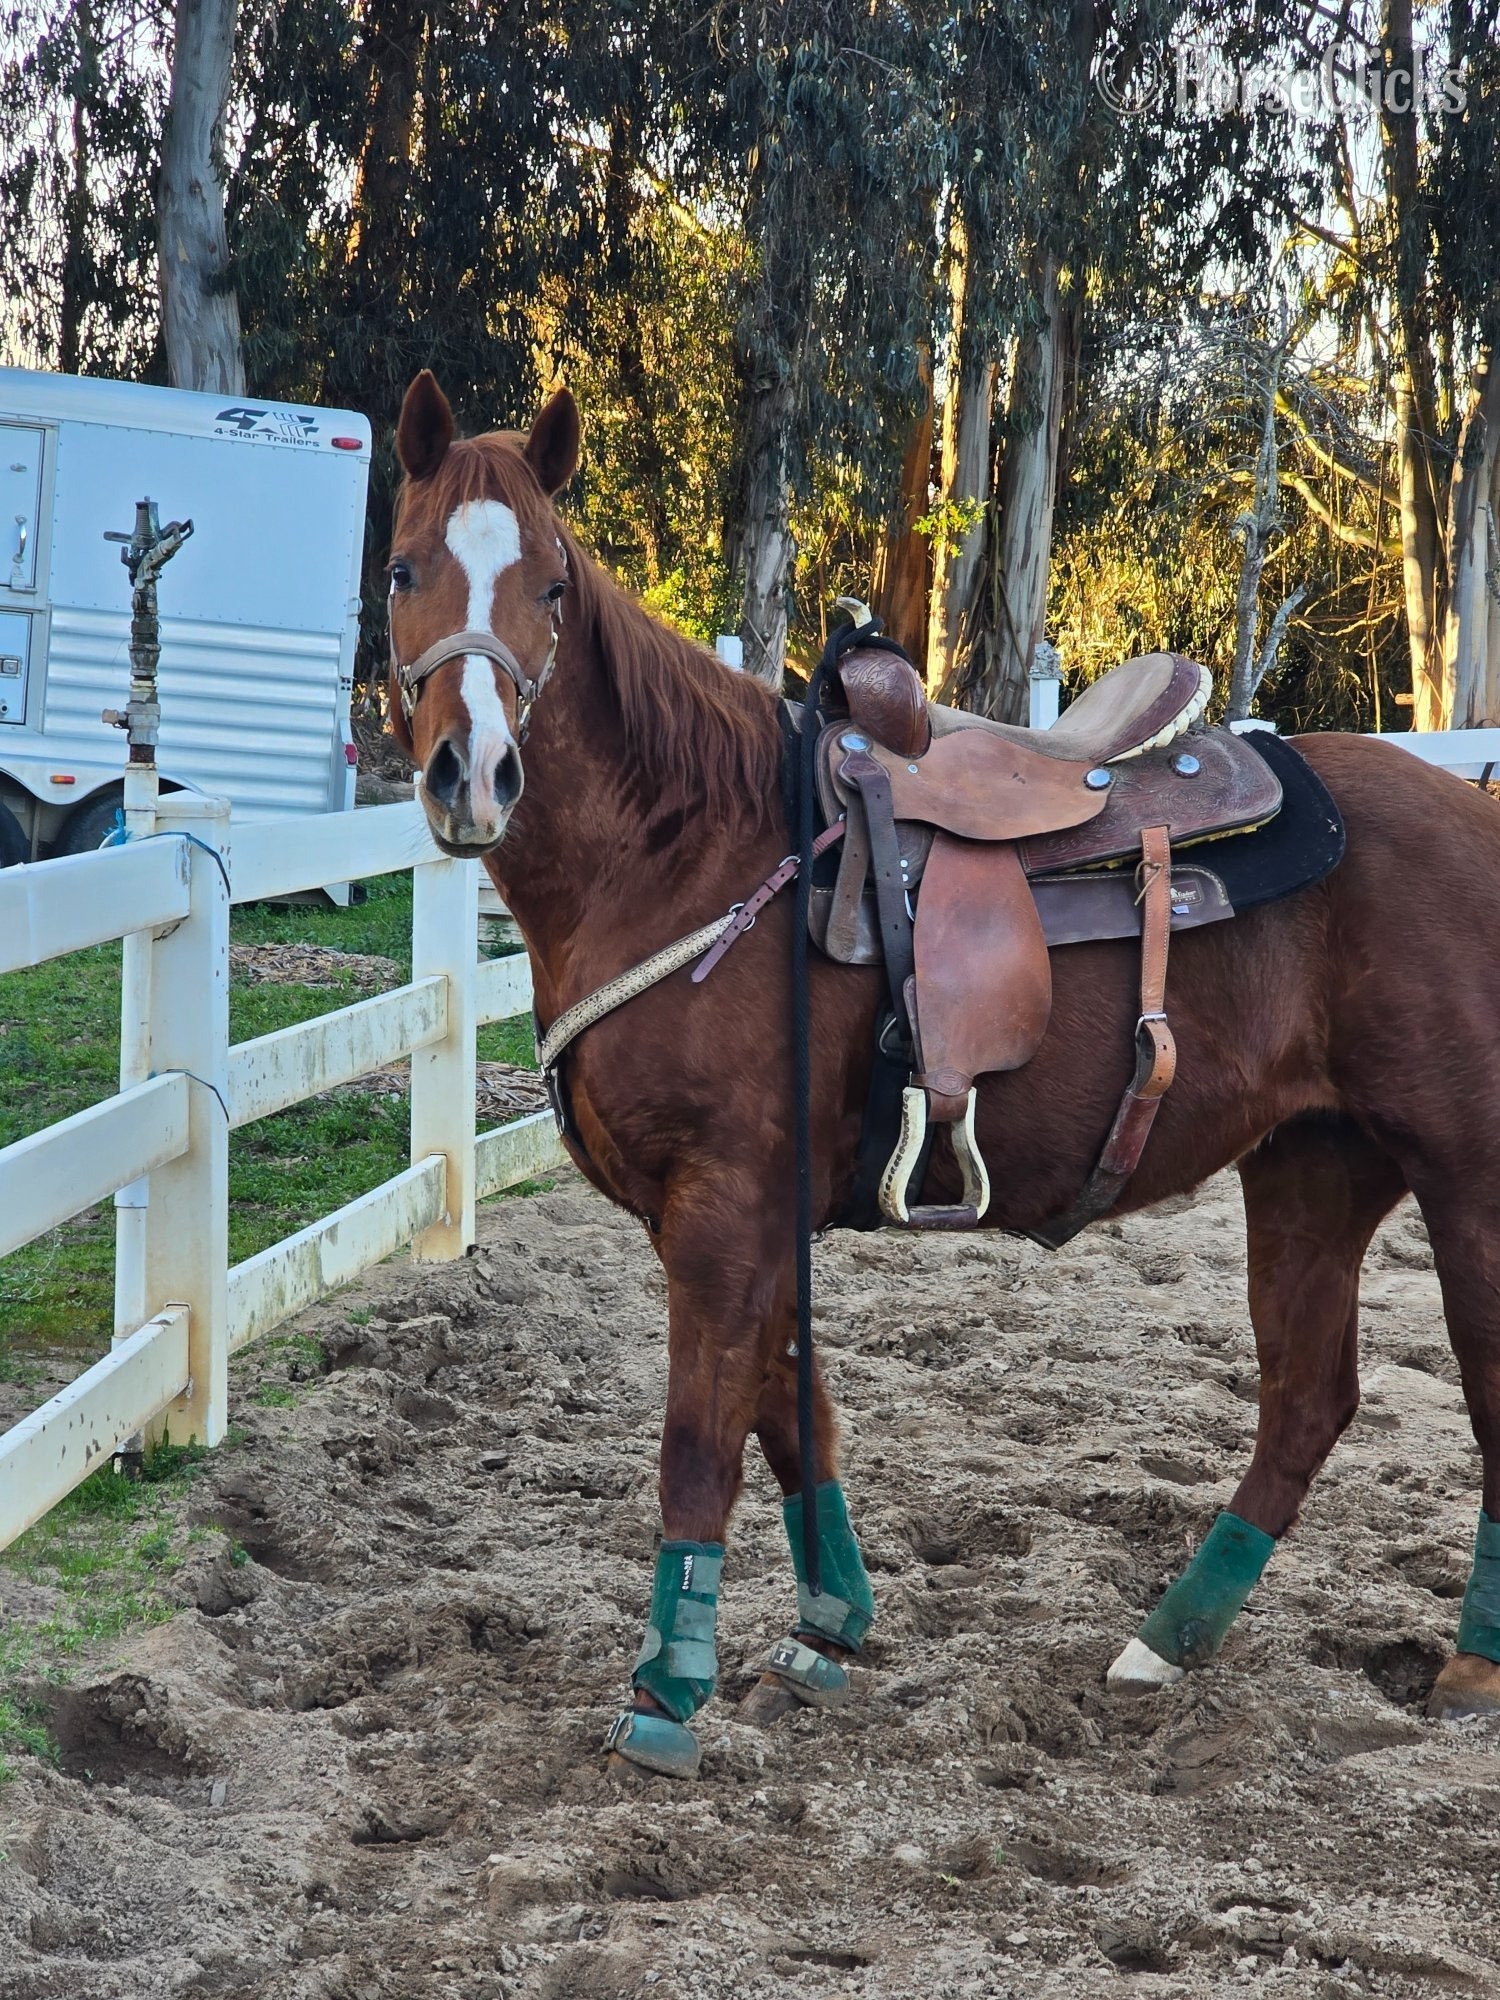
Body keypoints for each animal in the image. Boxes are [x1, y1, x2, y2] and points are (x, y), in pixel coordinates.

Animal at [384, 367, 1500, 1778]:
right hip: (1313, 1167)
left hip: (1468, 1182)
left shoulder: (724, 1208)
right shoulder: (752, 1218)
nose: (471, 773)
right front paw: (823, 1630)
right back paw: (1165, 1640)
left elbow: (702, 1437)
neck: (689, 846)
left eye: (550, 587)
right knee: (1308, 1398)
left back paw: (1470, 1664)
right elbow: (792, 1412)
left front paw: (668, 1691)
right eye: (404, 567)